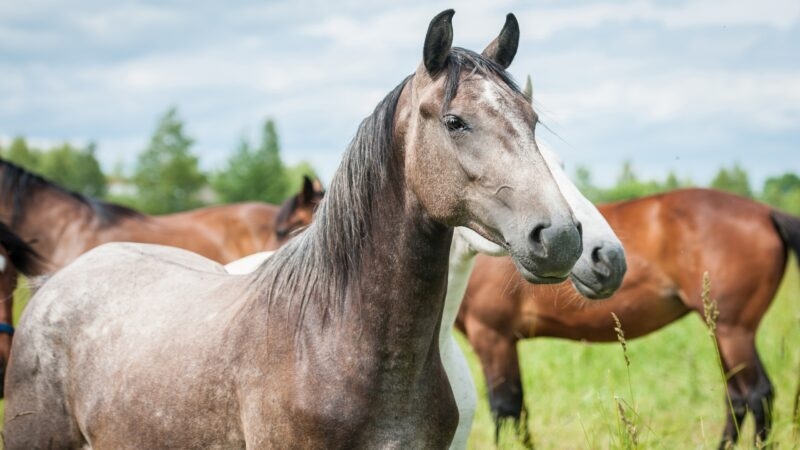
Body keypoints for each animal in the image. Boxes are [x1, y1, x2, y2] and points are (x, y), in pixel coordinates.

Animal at [457, 188, 800, 448]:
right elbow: (518, 409)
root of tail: (766, 212)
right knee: (738, 397)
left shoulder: (493, 336)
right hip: (722, 331)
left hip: (733, 331)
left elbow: (506, 408)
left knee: (757, 394)